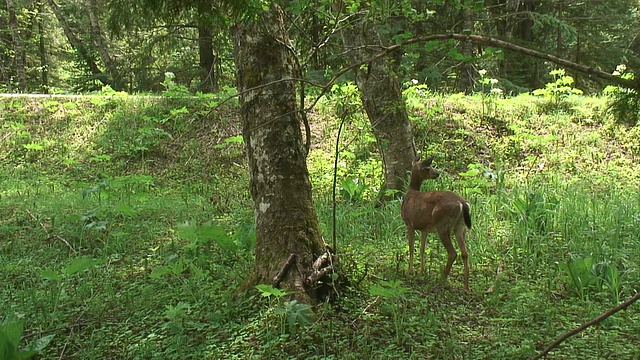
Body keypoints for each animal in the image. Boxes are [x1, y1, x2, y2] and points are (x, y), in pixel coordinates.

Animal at [402, 155, 472, 290]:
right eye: (428, 168)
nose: (438, 173)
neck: (410, 192)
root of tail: (462, 203)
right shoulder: (424, 228)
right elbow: (422, 248)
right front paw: (422, 271)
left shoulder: (409, 223)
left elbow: (411, 247)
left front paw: (410, 271)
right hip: (460, 227)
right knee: (465, 253)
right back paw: (466, 286)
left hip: (443, 225)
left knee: (453, 253)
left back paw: (442, 279)